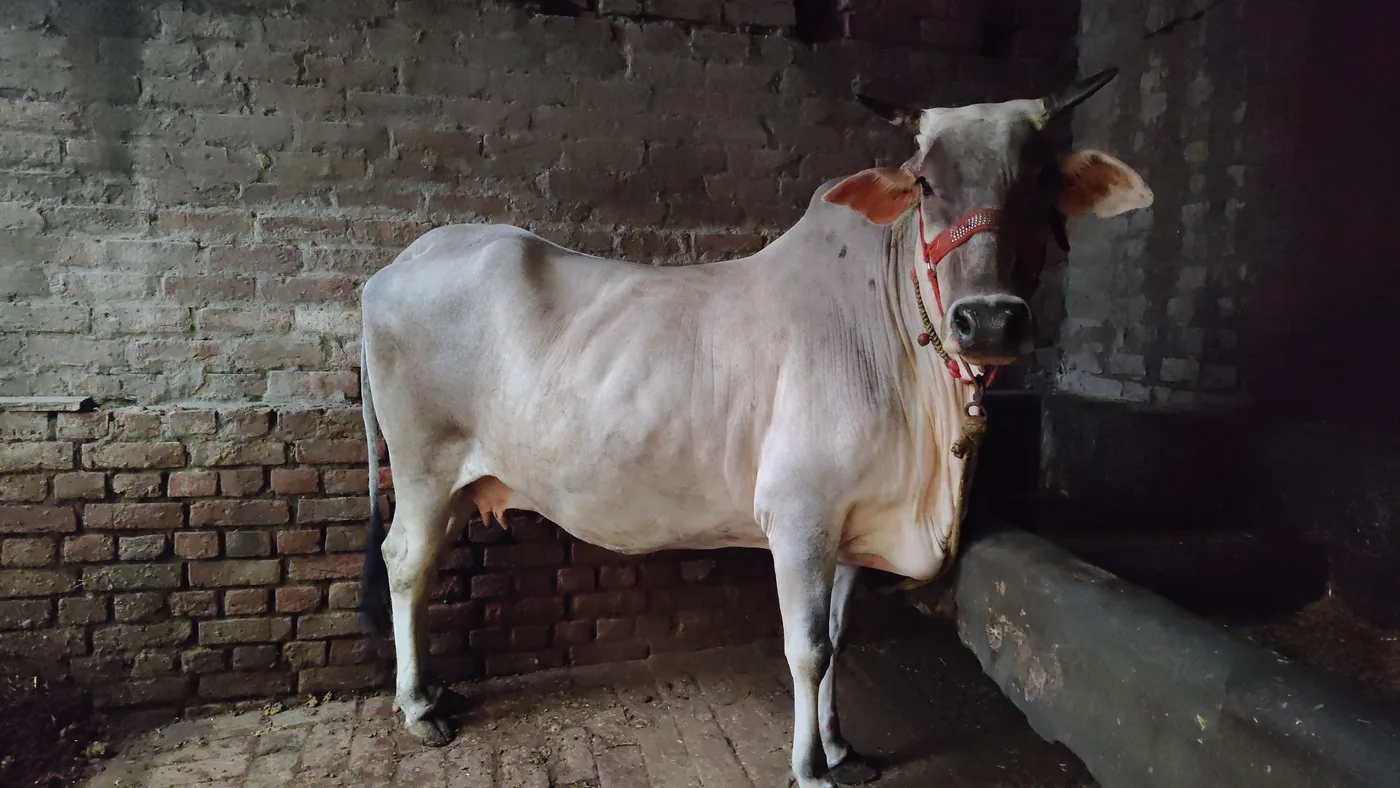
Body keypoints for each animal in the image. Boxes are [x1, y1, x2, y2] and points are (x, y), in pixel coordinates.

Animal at [357, 69, 1151, 787]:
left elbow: (839, 640)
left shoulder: (852, 525)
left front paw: (842, 748)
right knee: (406, 561)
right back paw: (418, 705)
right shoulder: (800, 516)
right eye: (926, 184)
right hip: (425, 467)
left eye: (1041, 183)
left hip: (455, 482)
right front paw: (810, 768)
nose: (987, 319)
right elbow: (807, 650)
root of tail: (396, 264)